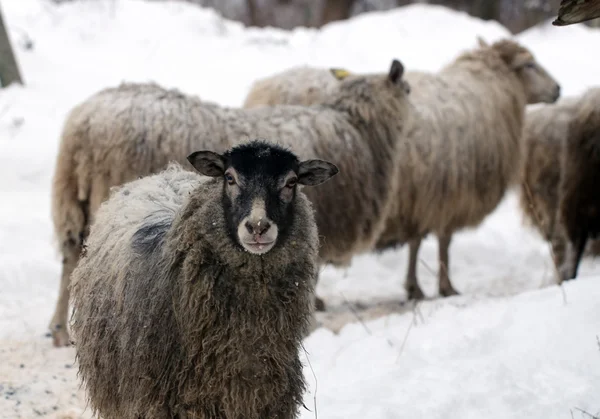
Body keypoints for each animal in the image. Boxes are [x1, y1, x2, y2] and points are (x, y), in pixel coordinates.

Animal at [48, 60, 412, 348]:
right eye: (408, 89)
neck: (358, 129)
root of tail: (84, 122)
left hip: (72, 200)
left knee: (71, 259)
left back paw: (60, 329)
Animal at [241, 39, 560, 300]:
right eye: (530, 64)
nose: (558, 89)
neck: (492, 91)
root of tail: (262, 89)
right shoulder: (447, 195)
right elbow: (442, 243)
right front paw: (442, 287)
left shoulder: (423, 198)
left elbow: (418, 241)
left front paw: (415, 287)